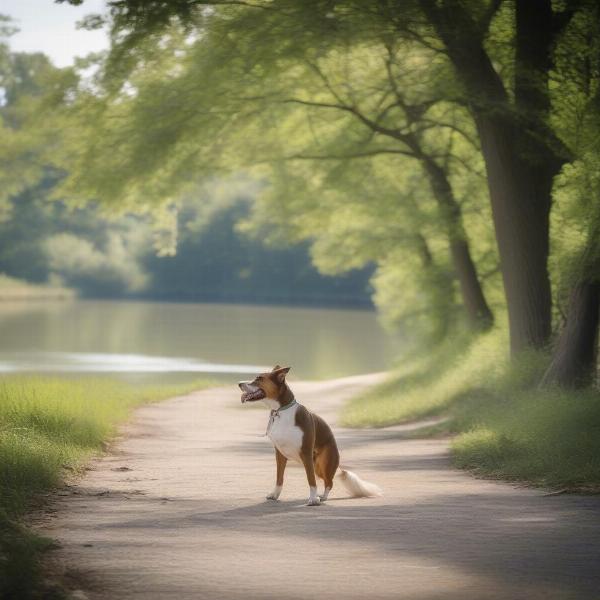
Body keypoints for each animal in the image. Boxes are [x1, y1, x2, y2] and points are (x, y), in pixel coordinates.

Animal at [238, 366, 382, 506]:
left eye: (259, 378)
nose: (239, 383)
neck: (281, 412)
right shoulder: (280, 454)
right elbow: (279, 478)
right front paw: (275, 494)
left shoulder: (306, 452)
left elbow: (311, 480)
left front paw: (313, 499)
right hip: (317, 466)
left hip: (323, 463)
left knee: (329, 482)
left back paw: (322, 497)